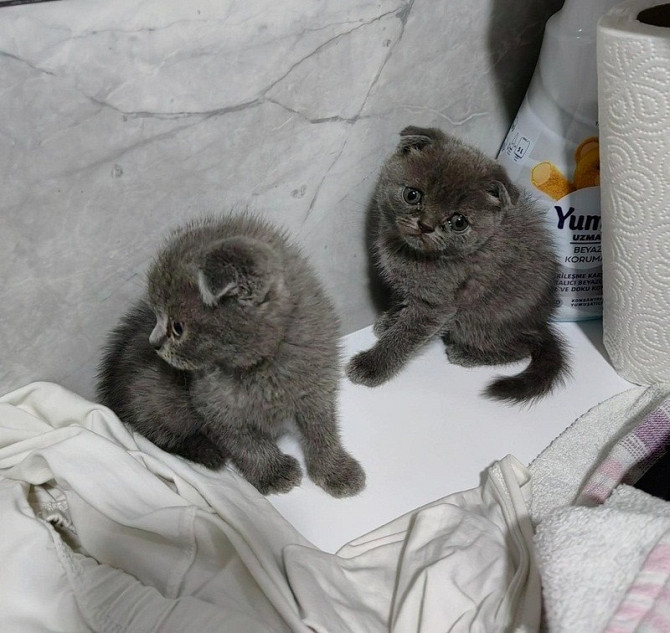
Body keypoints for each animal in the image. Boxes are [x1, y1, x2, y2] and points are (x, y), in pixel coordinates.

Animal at [97, 210, 364, 496]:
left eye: (177, 328)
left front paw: (335, 470)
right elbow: (245, 444)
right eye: (157, 315)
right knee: (157, 435)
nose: (153, 343)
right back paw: (206, 451)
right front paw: (273, 473)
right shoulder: (213, 406)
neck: (261, 369)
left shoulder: (317, 387)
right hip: (151, 399)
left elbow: (322, 430)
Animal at [346, 126, 572, 402]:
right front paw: (391, 320)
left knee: (523, 346)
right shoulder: (408, 286)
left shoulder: (436, 305)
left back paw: (467, 354)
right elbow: (403, 304)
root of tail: (541, 323)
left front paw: (372, 364)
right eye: (412, 195)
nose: (425, 225)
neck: (411, 254)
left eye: (459, 222)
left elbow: (406, 335)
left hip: (478, 321)